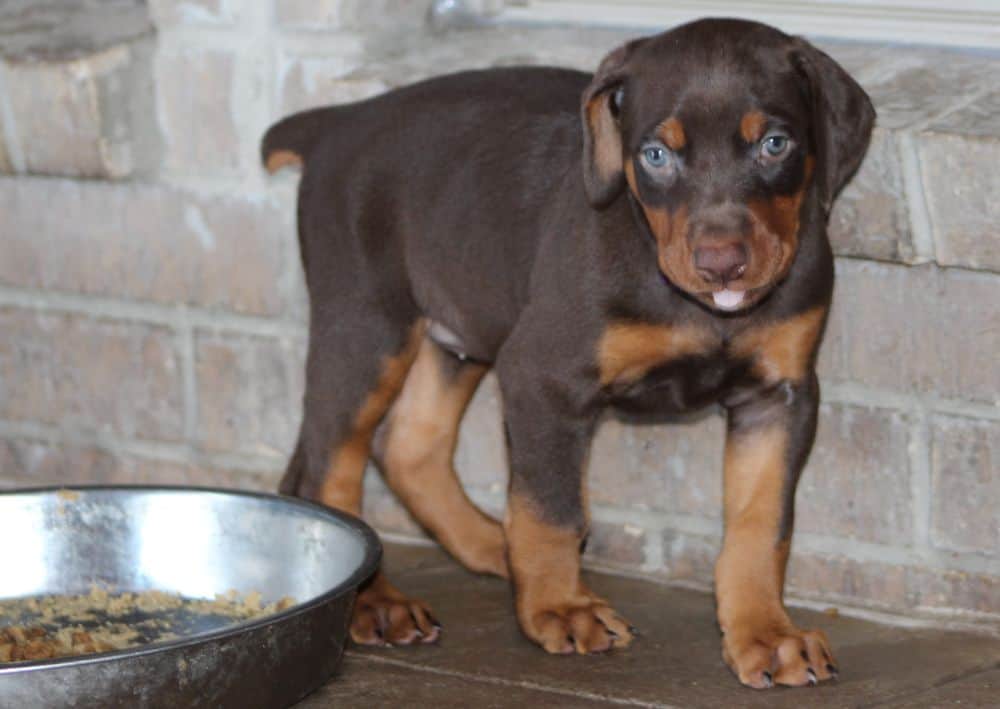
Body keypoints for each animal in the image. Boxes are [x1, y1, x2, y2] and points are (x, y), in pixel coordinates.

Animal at [264, 19, 876, 688]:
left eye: (774, 143)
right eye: (655, 155)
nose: (721, 264)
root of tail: (338, 121)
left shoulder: (779, 396)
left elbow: (761, 524)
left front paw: (766, 633)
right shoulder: (543, 376)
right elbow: (551, 508)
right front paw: (559, 608)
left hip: (460, 327)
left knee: (407, 445)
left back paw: (494, 547)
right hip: (366, 323)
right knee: (327, 467)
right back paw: (373, 601)